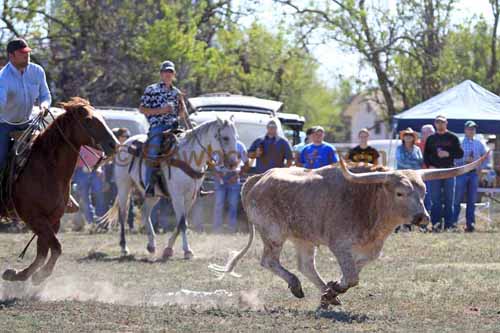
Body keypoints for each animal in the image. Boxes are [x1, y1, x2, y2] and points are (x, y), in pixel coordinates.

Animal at [1, 96, 117, 282]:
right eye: (88, 120)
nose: (114, 144)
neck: (47, 168)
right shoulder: (35, 218)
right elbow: (56, 248)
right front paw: (39, 275)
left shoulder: (52, 220)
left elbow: (43, 251)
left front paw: (18, 274)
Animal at [101, 118, 238, 258]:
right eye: (225, 138)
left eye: (236, 137)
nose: (234, 163)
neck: (187, 157)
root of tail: (125, 144)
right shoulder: (177, 196)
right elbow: (182, 223)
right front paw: (187, 250)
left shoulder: (191, 197)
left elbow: (181, 222)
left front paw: (168, 249)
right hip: (124, 186)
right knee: (123, 214)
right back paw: (124, 247)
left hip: (154, 194)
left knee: (145, 211)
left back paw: (151, 245)